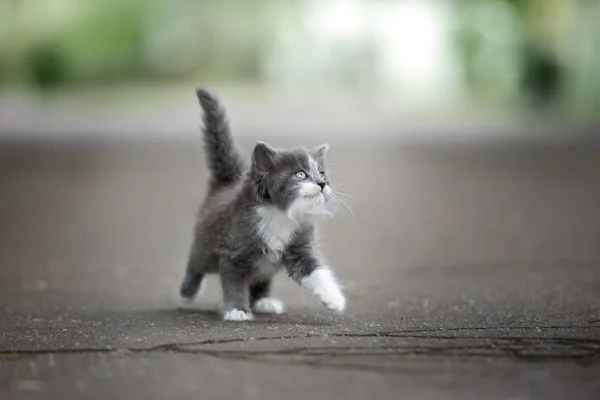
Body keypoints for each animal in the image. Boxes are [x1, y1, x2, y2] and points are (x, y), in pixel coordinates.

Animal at [179, 89, 346, 320]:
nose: (322, 184)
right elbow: (234, 284)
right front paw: (237, 310)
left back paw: (264, 302)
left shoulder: (300, 246)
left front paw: (334, 298)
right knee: (195, 263)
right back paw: (187, 293)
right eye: (301, 174)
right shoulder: (234, 252)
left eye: (322, 174)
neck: (280, 215)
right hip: (205, 243)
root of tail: (226, 184)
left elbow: (316, 270)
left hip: (265, 266)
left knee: (260, 279)